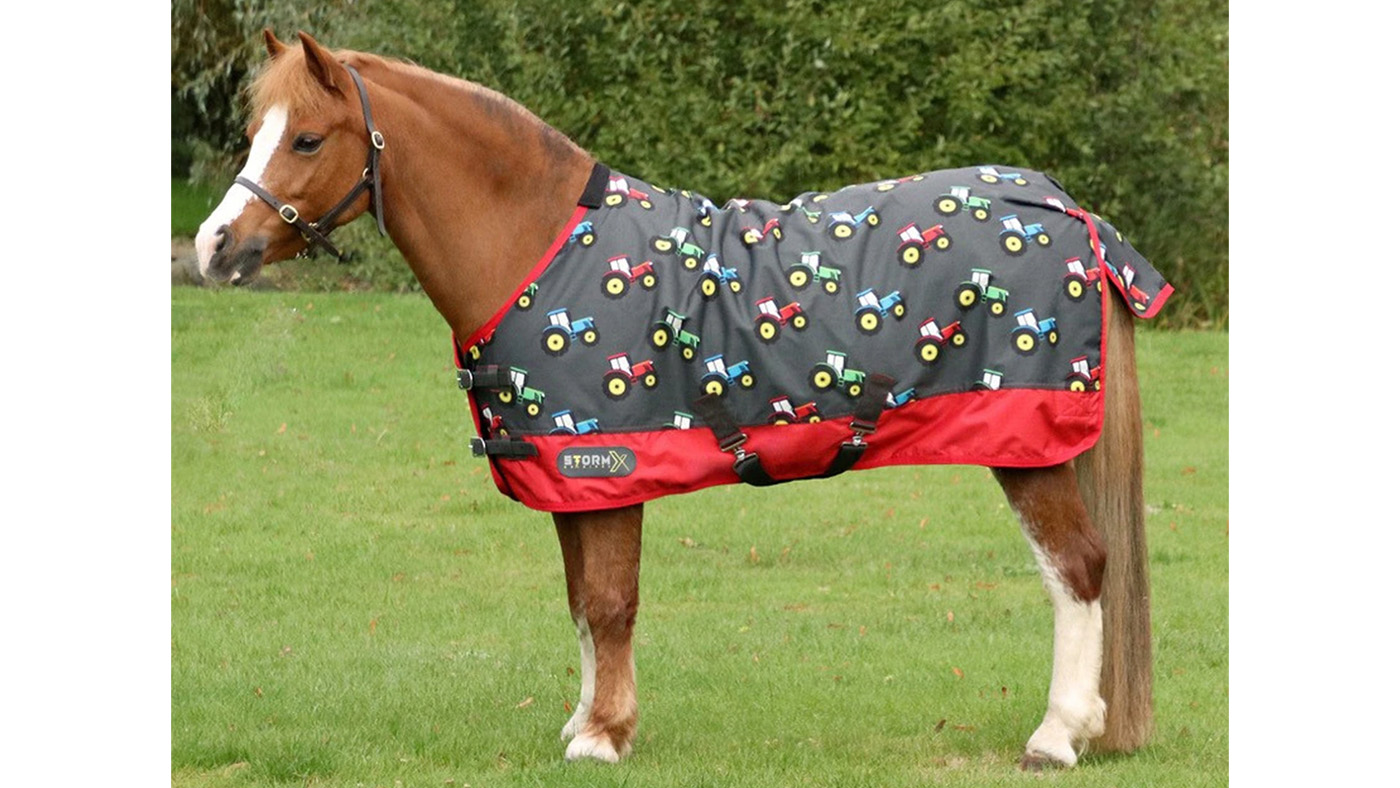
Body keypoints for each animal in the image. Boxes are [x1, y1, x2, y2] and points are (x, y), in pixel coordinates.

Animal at [194, 30, 1158, 770]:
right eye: (252, 130)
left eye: (307, 140)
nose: (213, 248)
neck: (539, 247)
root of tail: (1065, 210)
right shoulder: (567, 477)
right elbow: (582, 605)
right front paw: (586, 722)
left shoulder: (608, 465)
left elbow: (610, 602)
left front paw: (604, 738)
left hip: (1025, 443)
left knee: (1078, 569)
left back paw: (1057, 735)